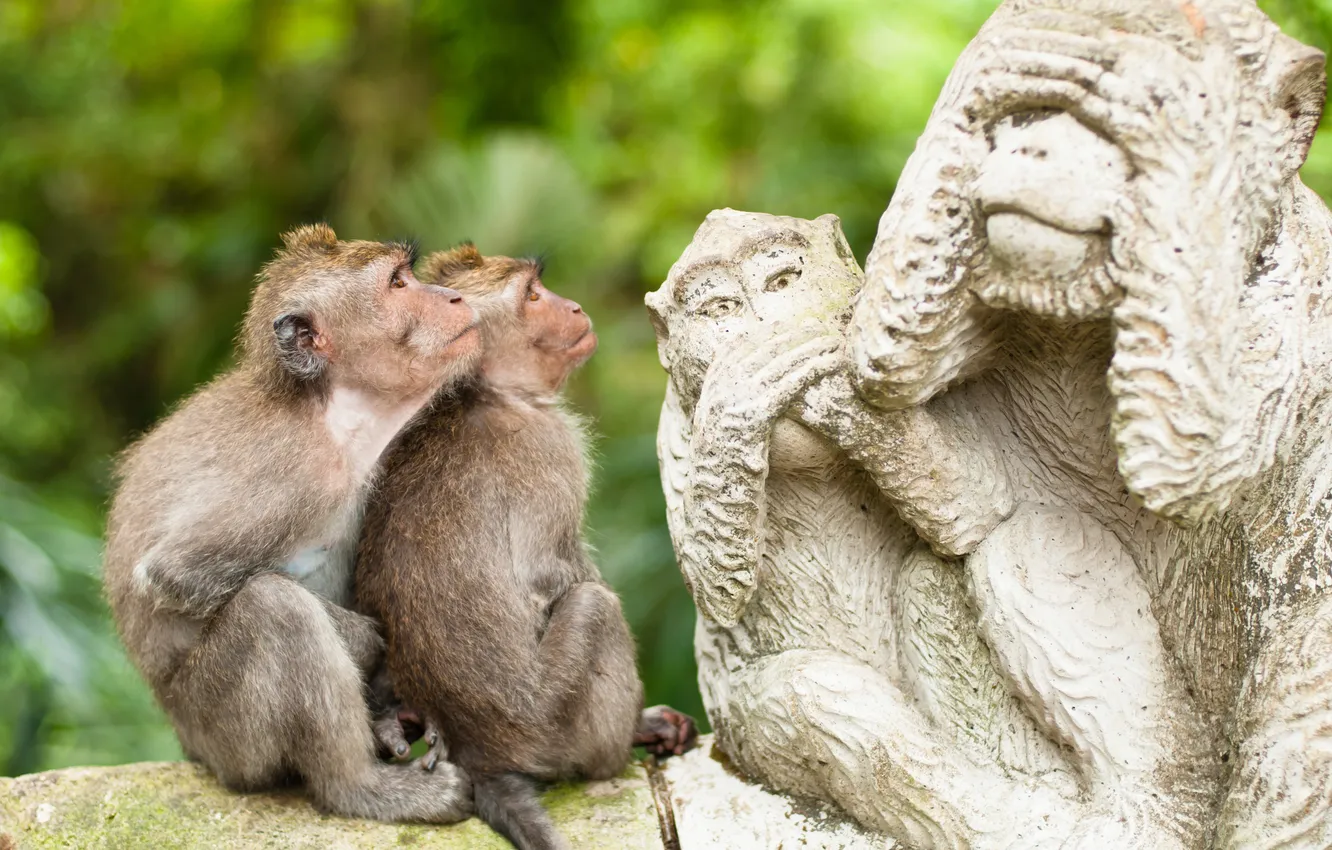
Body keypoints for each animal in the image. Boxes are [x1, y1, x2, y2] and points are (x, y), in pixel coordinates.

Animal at [102, 224, 478, 823]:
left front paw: (391, 706)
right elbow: (174, 572)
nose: (454, 297)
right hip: (224, 737)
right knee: (274, 610)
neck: (331, 411)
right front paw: (368, 646)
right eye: (398, 283)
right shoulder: (297, 472)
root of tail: (189, 743)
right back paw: (362, 788)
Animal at [355, 244, 697, 850]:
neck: (486, 392)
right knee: (594, 606)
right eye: (533, 295)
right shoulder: (551, 446)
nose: (575, 306)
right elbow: (550, 573)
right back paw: (624, 741)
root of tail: (483, 756)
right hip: (557, 726)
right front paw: (647, 720)